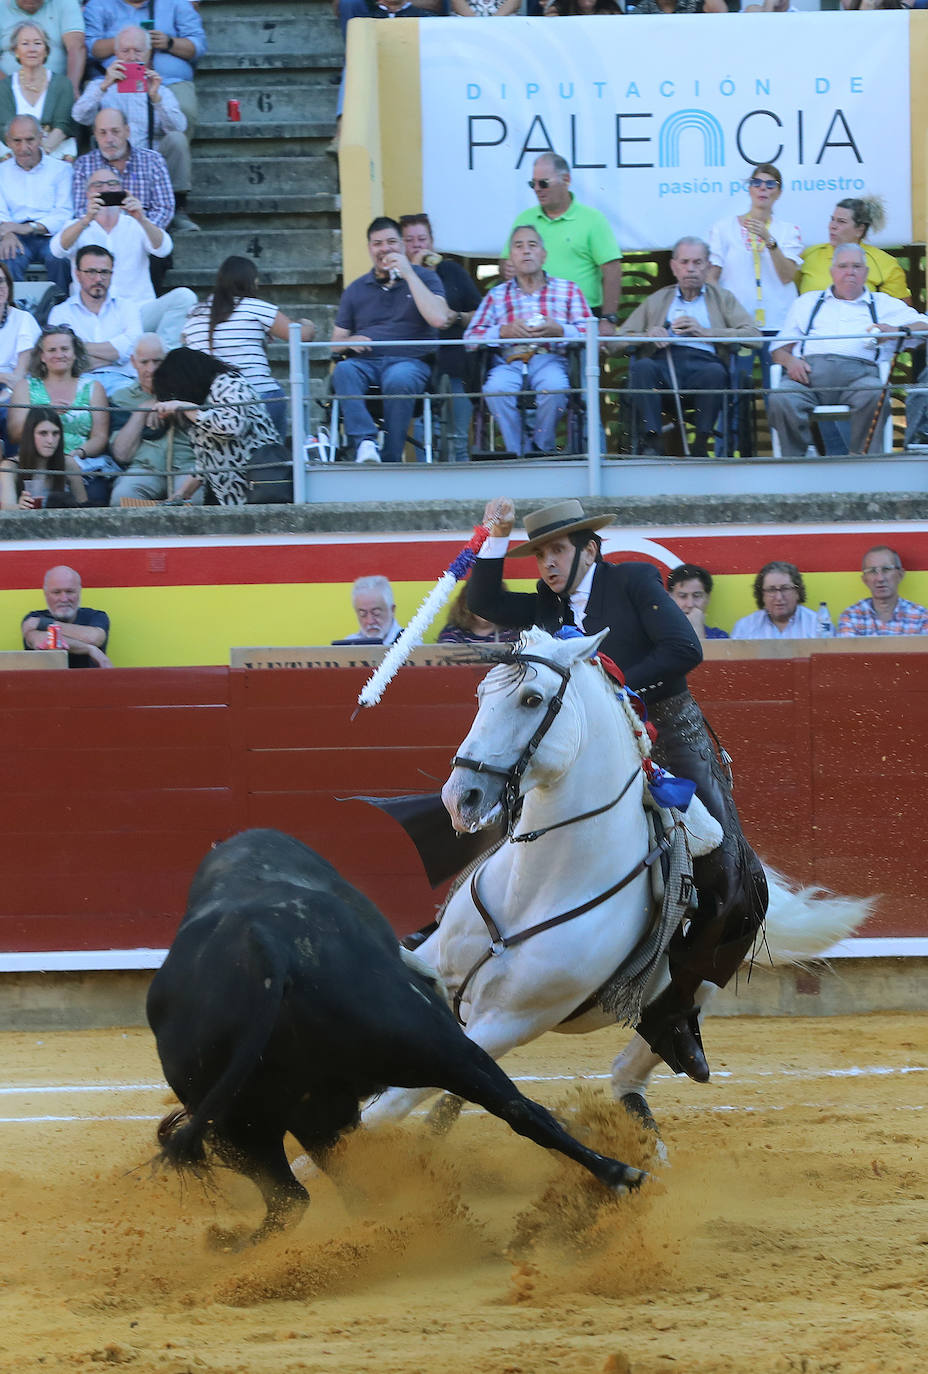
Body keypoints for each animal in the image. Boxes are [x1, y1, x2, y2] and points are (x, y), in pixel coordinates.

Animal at [150, 824, 646, 1247]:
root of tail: (265, 951)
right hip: (426, 1052)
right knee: (517, 1110)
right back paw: (621, 1175)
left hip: (248, 1122)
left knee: (299, 1198)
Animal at [365, 629, 874, 1132]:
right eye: (481, 694)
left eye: (532, 699)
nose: (461, 798)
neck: (536, 890)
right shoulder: (436, 963)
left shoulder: (511, 1021)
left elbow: (383, 1112)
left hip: (705, 975)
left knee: (640, 1058)